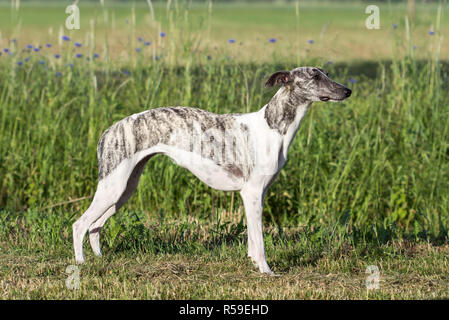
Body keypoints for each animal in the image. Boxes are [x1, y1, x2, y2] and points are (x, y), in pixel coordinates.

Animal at [72, 66, 350, 274]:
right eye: (315, 76)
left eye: (325, 73)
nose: (348, 91)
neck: (272, 126)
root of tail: (109, 130)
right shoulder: (252, 193)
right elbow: (259, 239)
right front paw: (266, 270)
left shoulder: (255, 195)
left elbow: (252, 238)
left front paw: (253, 264)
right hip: (112, 187)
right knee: (80, 224)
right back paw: (80, 263)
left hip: (124, 190)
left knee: (95, 226)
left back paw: (99, 259)